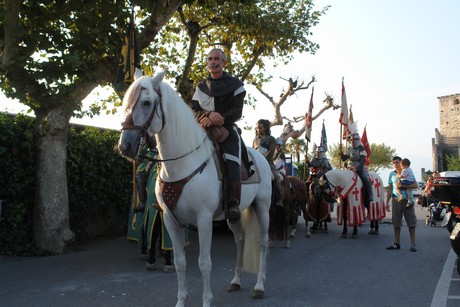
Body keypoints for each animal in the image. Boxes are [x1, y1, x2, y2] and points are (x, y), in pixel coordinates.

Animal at [117, 73, 274, 307]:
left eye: (146, 102)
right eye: (127, 102)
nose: (125, 145)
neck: (181, 164)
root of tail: (261, 158)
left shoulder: (204, 219)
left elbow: (204, 263)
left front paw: (206, 301)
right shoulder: (170, 220)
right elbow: (180, 262)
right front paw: (181, 301)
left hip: (262, 208)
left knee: (262, 243)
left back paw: (259, 286)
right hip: (234, 214)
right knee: (240, 241)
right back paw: (236, 281)